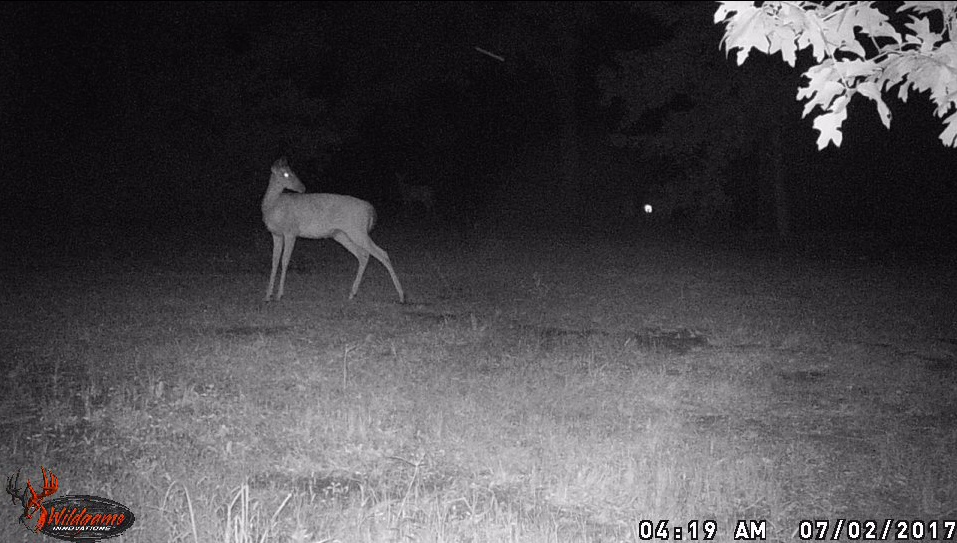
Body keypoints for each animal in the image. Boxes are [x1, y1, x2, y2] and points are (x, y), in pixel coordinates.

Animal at [262, 157, 405, 303]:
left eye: (291, 172)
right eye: (286, 174)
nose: (302, 188)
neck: (273, 206)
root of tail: (370, 209)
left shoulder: (291, 231)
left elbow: (285, 261)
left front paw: (279, 295)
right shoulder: (276, 234)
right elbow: (274, 261)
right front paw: (268, 295)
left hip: (357, 231)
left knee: (382, 253)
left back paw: (401, 296)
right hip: (342, 234)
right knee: (363, 255)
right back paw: (352, 293)